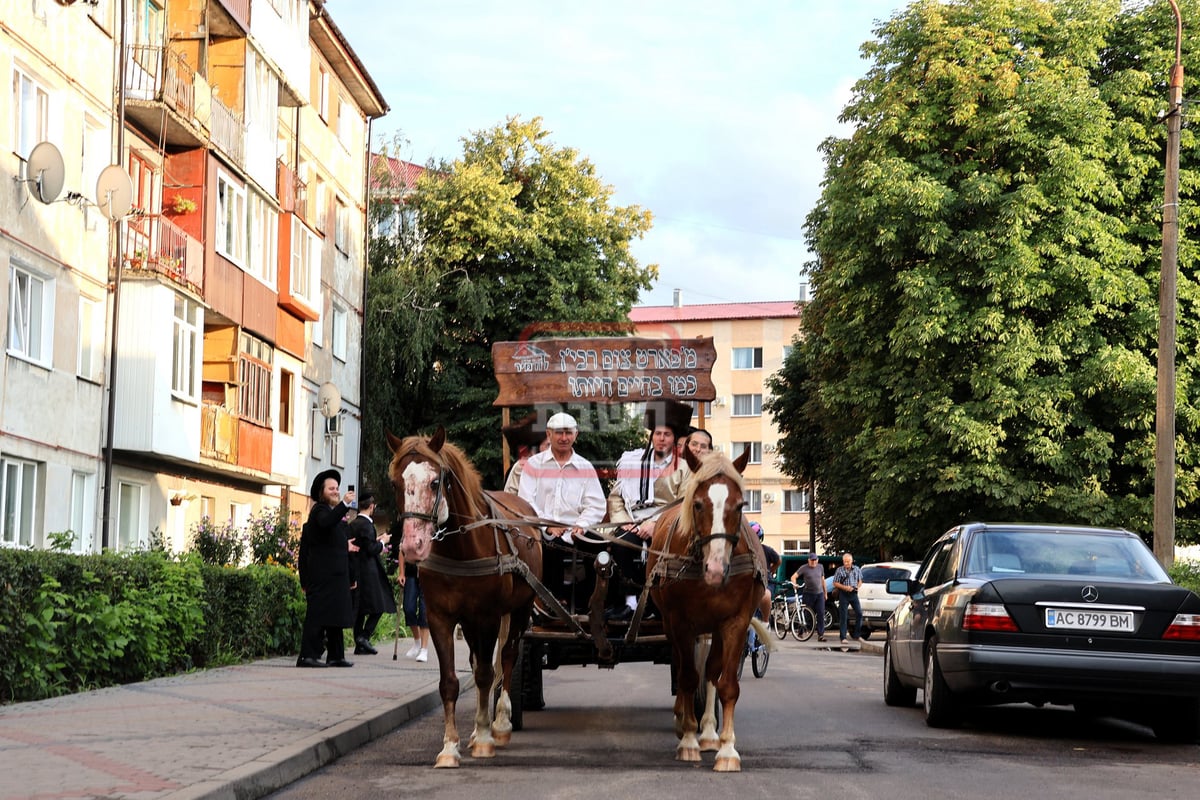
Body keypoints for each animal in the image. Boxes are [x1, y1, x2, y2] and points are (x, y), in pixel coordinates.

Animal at [386, 424, 542, 767]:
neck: (461, 549)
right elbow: (450, 682)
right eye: (396, 482)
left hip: (521, 609)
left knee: (507, 657)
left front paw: (484, 738)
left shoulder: (487, 617)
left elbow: (485, 674)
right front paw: (450, 747)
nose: (412, 547)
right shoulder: (440, 618)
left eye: (435, 481)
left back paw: (500, 723)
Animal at [652, 448, 763, 772]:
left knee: (712, 671)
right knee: (681, 665)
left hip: (714, 628)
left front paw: (726, 749)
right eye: (699, 504)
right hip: (671, 625)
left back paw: (710, 733)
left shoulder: (736, 621)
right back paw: (685, 722)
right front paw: (688, 740)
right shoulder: (680, 622)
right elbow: (688, 677)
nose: (716, 570)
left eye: (740, 505)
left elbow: (727, 685)